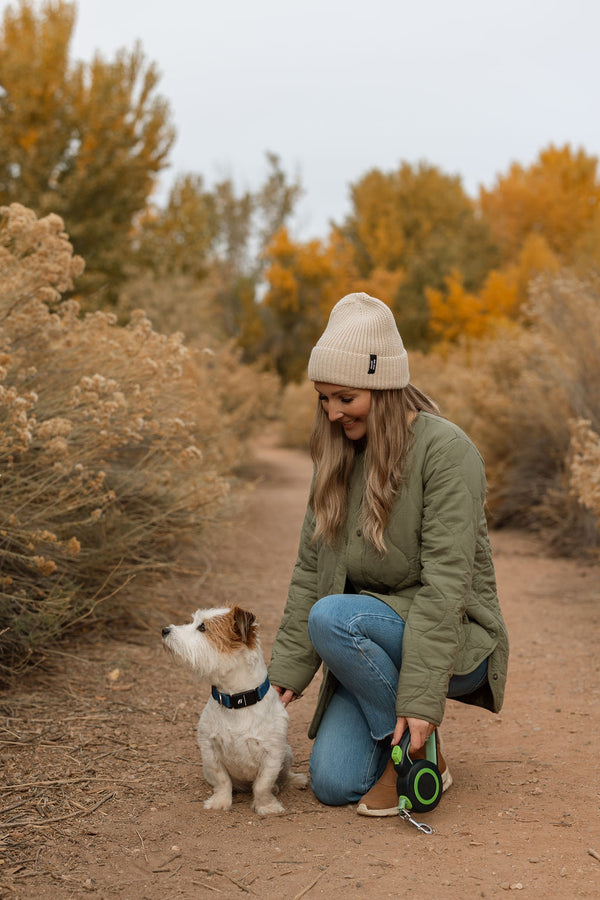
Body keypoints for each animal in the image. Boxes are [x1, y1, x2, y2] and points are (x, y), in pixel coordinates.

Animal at [162, 604, 308, 816]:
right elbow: (222, 780)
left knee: (283, 776)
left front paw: (266, 806)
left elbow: (262, 785)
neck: (237, 700)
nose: (164, 630)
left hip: (286, 753)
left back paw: (295, 780)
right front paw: (220, 802)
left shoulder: (272, 754)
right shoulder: (210, 750)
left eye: (202, 627)